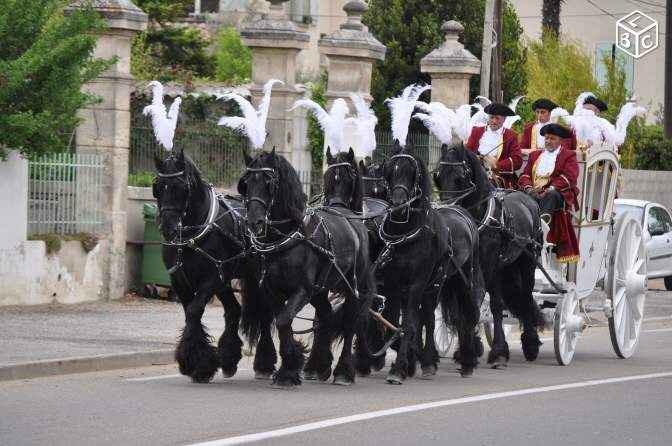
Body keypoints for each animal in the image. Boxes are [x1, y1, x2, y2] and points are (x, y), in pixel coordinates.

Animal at [155, 152, 276, 382]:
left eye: (182, 188)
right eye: (157, 186)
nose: (168, 228)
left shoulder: (210, 279)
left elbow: (194, 310)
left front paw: (198, 364)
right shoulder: (180, 282)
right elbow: (190, 313)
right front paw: (196, 363)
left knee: (264, 313)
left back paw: (263, 364)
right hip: (226, 280)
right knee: (233, 311)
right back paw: (229, 359)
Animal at [239, 149, 376, 386]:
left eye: (269, 182)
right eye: (246, 183)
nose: (254, 222)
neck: (288, 235)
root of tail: (348, 214)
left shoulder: (302, 290)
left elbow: (284, 321)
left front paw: (289, 368)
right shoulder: (273, 291)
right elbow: (282, 322)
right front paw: (290, 366)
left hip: (352, 288)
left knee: (350, 323)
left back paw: (343, 371)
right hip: (319, 291)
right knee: (326, 316)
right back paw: (319, 365)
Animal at [376, 144, 486, 384]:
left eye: (412, 172)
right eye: (389, 170)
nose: (398, 205)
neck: (406, 233)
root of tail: (461, 211)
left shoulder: (416, 283)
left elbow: (409, 324)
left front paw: (399, 370)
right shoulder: (394, 284)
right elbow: (395, 322)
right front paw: (406, 364)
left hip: (460, 281)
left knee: (464, 317)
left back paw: (466, 362)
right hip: (439, 284)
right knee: (429, 317)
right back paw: (428, 361)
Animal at [434, 143, 544, 366]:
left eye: (460, 177)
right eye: (437, 176)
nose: (447, 209)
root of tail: (528, 198)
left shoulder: (489, 266)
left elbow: (492, 305)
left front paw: (498, 350)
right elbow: (467, 304)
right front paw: (469, 347)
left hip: (526, 264)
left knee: (526, 298)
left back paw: (530, 344)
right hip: (505, 268)